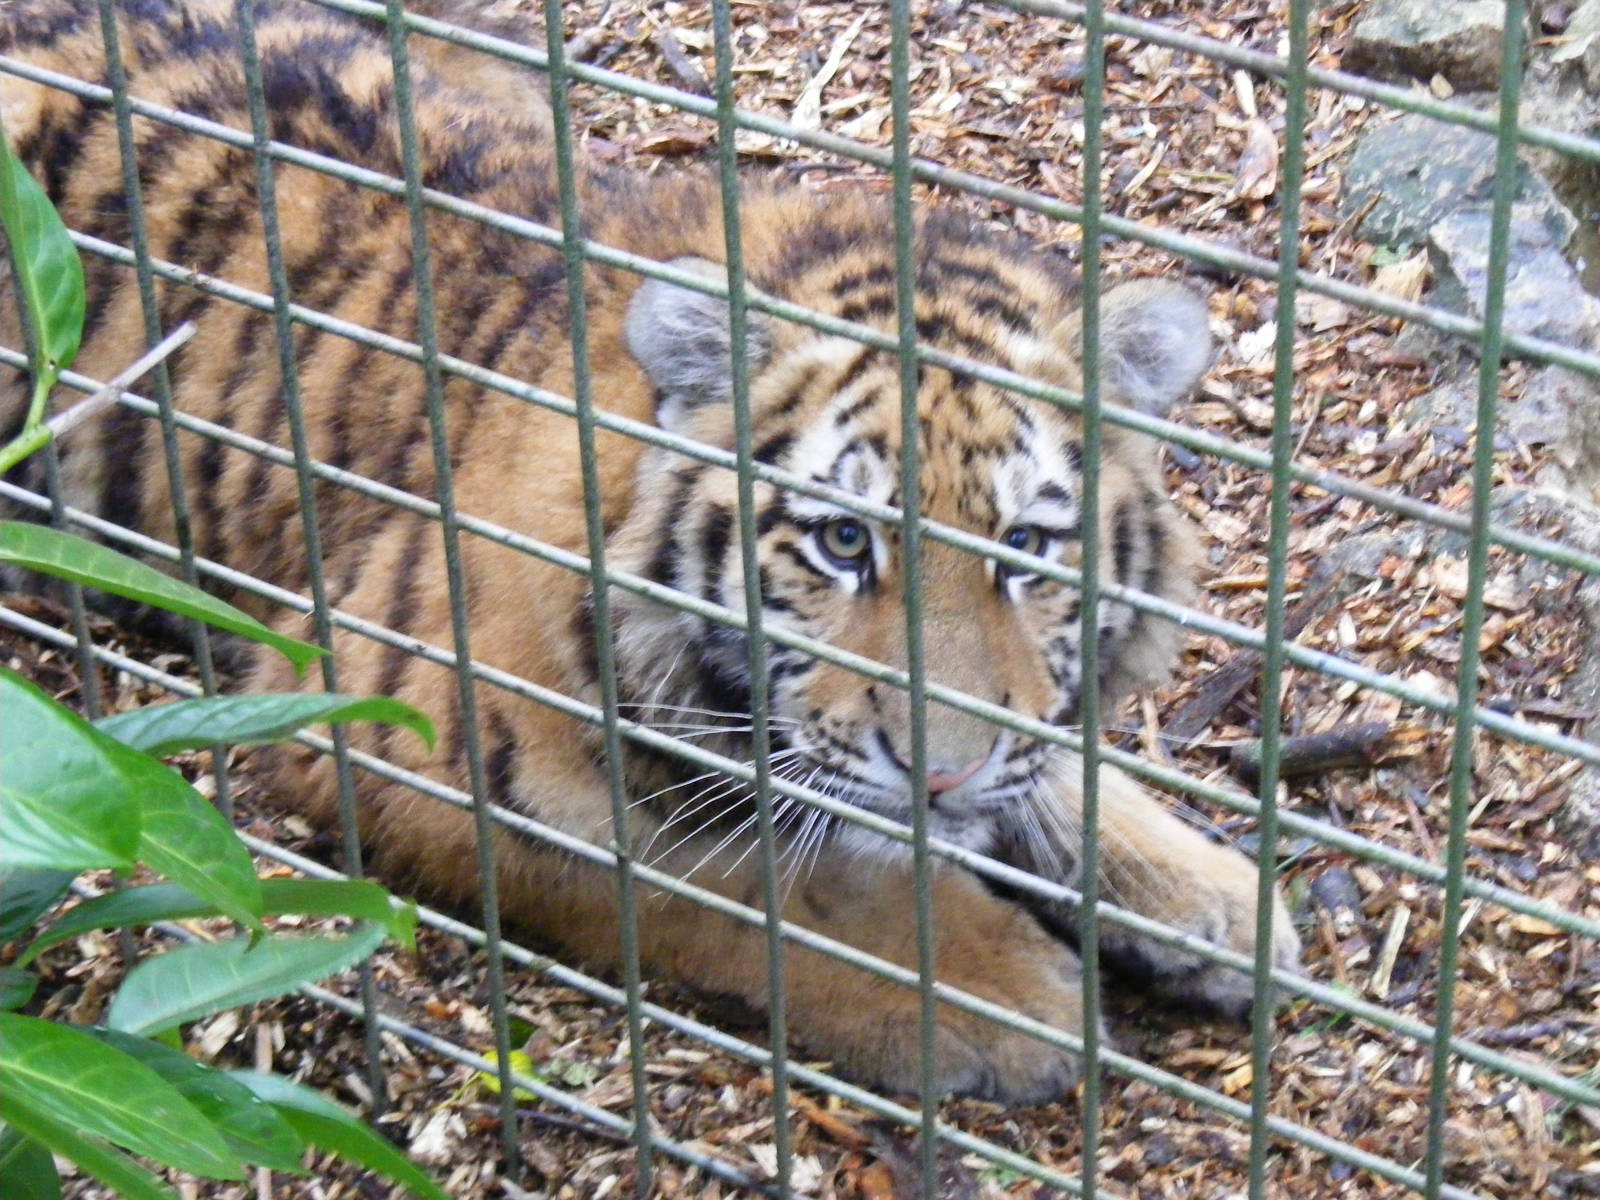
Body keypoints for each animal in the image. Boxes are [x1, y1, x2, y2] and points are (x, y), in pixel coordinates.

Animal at [0, 0, 1301, 1103]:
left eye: (1025, 547)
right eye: (843, 543)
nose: (942, 778)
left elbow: (1052, 763)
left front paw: (1215, 904)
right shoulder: (394, 728)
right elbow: (751, 876)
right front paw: (1002, 991)